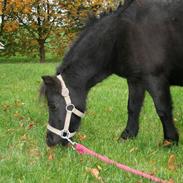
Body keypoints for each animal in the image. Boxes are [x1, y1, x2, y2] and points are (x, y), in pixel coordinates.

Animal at [41, 0, 183, 147]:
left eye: (52, 105)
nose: (49, 140)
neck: (121, 35)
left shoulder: (155, 78)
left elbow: (163, 109)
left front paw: (170, 141)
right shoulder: (135, 80)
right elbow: (133, 107)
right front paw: (127, 136)